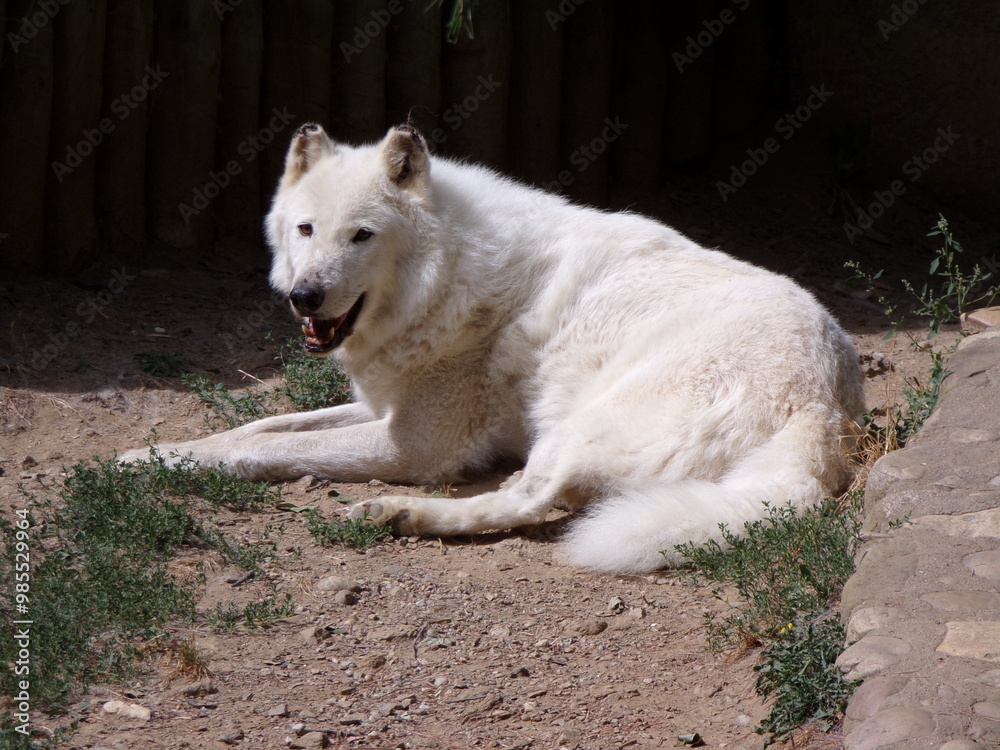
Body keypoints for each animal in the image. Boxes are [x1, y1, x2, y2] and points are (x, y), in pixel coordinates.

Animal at [122, 123, 865, 574]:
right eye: (305, 229)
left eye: (362, 235)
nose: (305, 296)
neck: (448, 272)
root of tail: (822, 417)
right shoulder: (382, 406)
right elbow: (259, 426)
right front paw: (156, 453)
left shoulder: (415, 446)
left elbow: (269, 450)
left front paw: (154, 466)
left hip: (573, 429)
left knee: (524, 504)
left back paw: (398, 514)